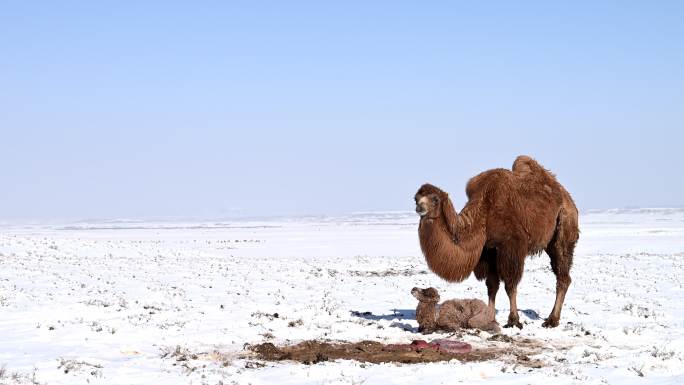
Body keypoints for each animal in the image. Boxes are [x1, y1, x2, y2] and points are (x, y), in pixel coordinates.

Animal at [414, 155, 580, 328]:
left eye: (435, 199)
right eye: (416, 199)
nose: (419, 208)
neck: (483, 213)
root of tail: (567, 197)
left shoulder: (511, 247)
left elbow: (510, 285)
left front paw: (513, 320)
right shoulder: (489, 250)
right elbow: (492, 285)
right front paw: (489, 317)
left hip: (565, 225)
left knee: (562, 274)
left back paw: (552, 320)